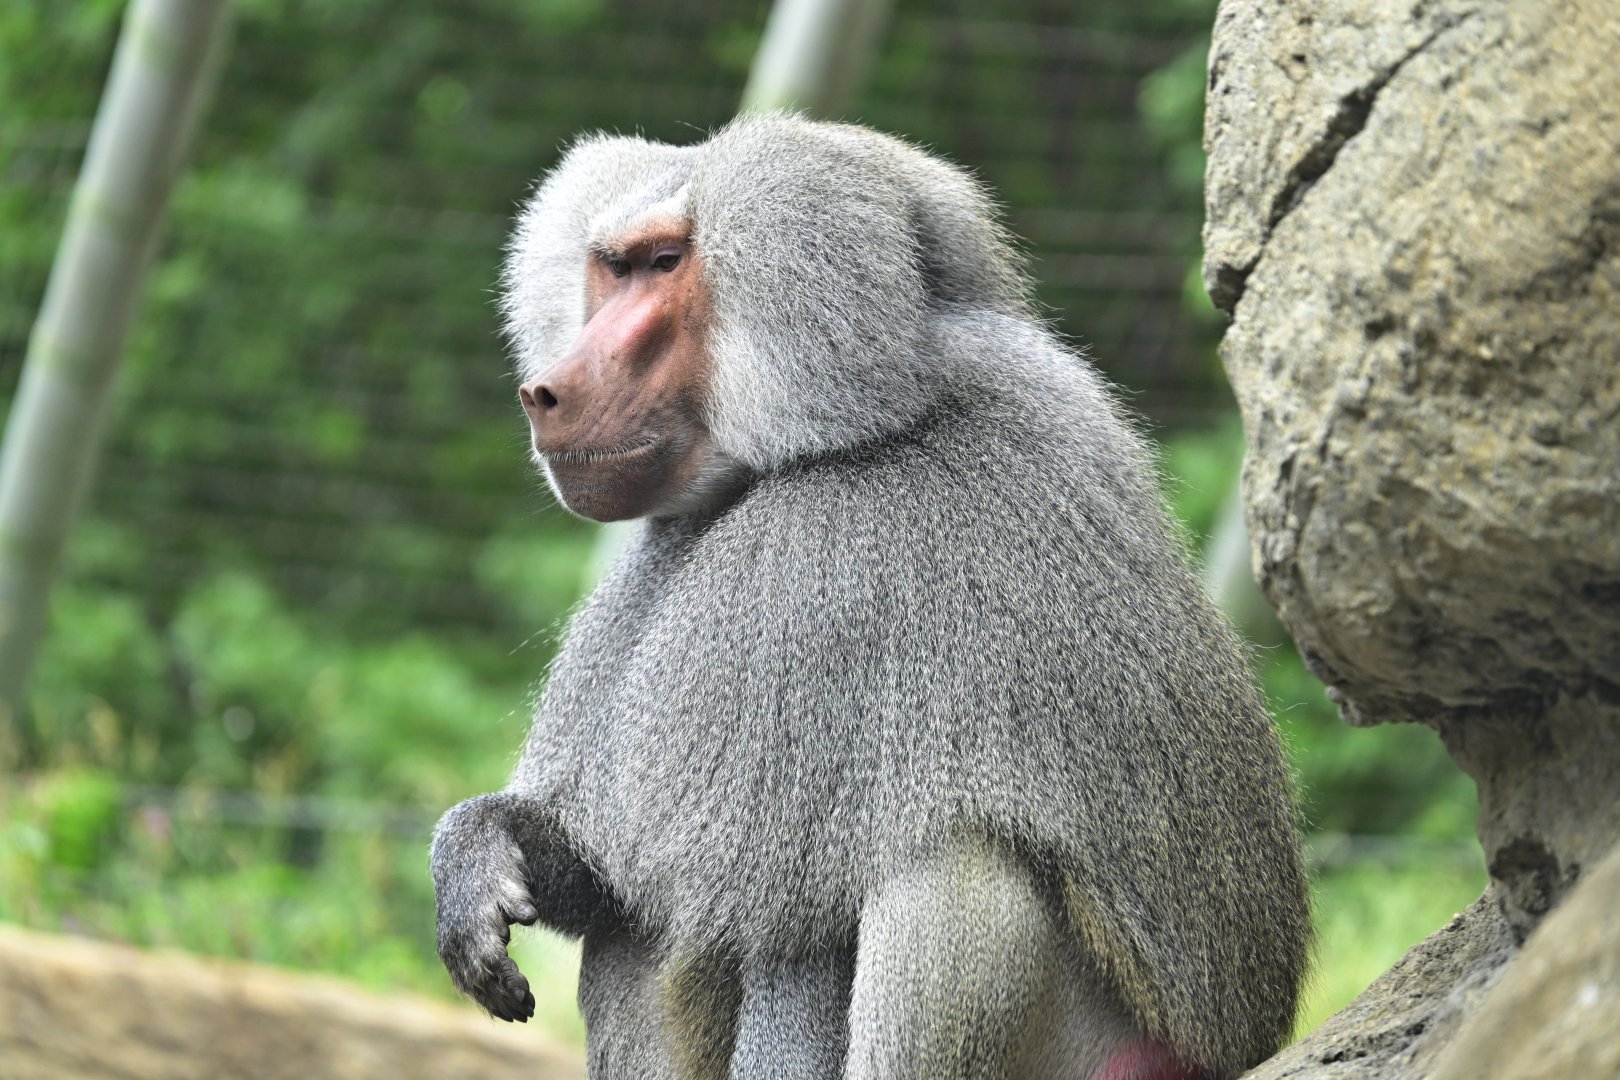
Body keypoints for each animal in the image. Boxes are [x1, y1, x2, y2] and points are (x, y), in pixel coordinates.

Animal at [431, 113, 1310, 1080]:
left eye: (666, 263)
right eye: (613, 267)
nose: (546, 392)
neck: (877, 417)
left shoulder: (816, 577)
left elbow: (780, 916)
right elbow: (614, 886)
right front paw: (483, 850)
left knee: (954, 878)